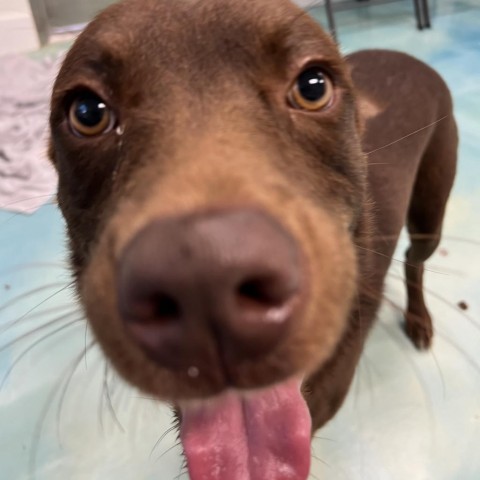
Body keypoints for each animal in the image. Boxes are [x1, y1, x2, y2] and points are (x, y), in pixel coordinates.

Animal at [47, 0, 458, 480]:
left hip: (431, 209)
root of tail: (407, 55)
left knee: (415, 259)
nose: (203, 285)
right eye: (87, 113)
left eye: (313, 86)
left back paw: (418, 318)